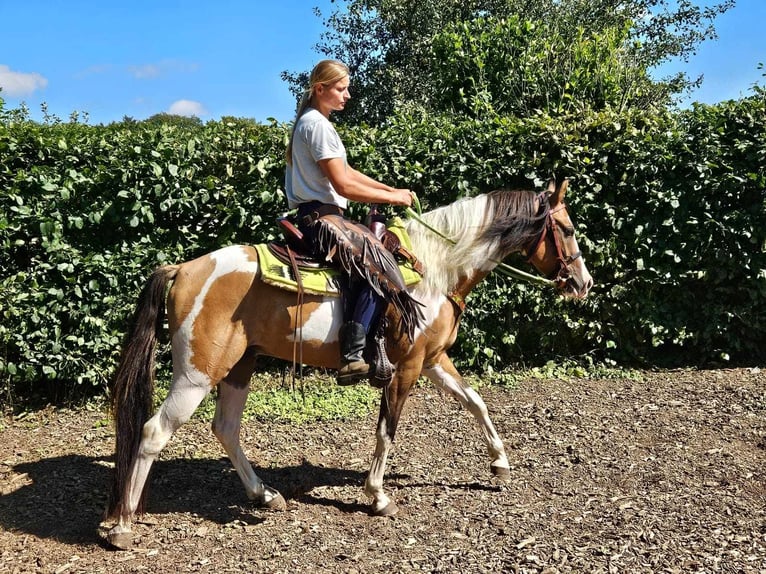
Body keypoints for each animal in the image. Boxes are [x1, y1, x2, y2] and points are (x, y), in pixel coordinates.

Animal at [103, 179, 592, 548]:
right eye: (567, 229)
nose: (583, 283)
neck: (436, 269)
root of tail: (182, 269)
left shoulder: (432, 360)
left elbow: (475, 402)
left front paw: (500, 464)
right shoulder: (406, 368)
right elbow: (387, 429)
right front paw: (377, 495)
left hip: (238, 367)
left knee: (225, 428)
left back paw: (265, 495)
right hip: (196, 373)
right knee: (153, 432)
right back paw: (123, 526)